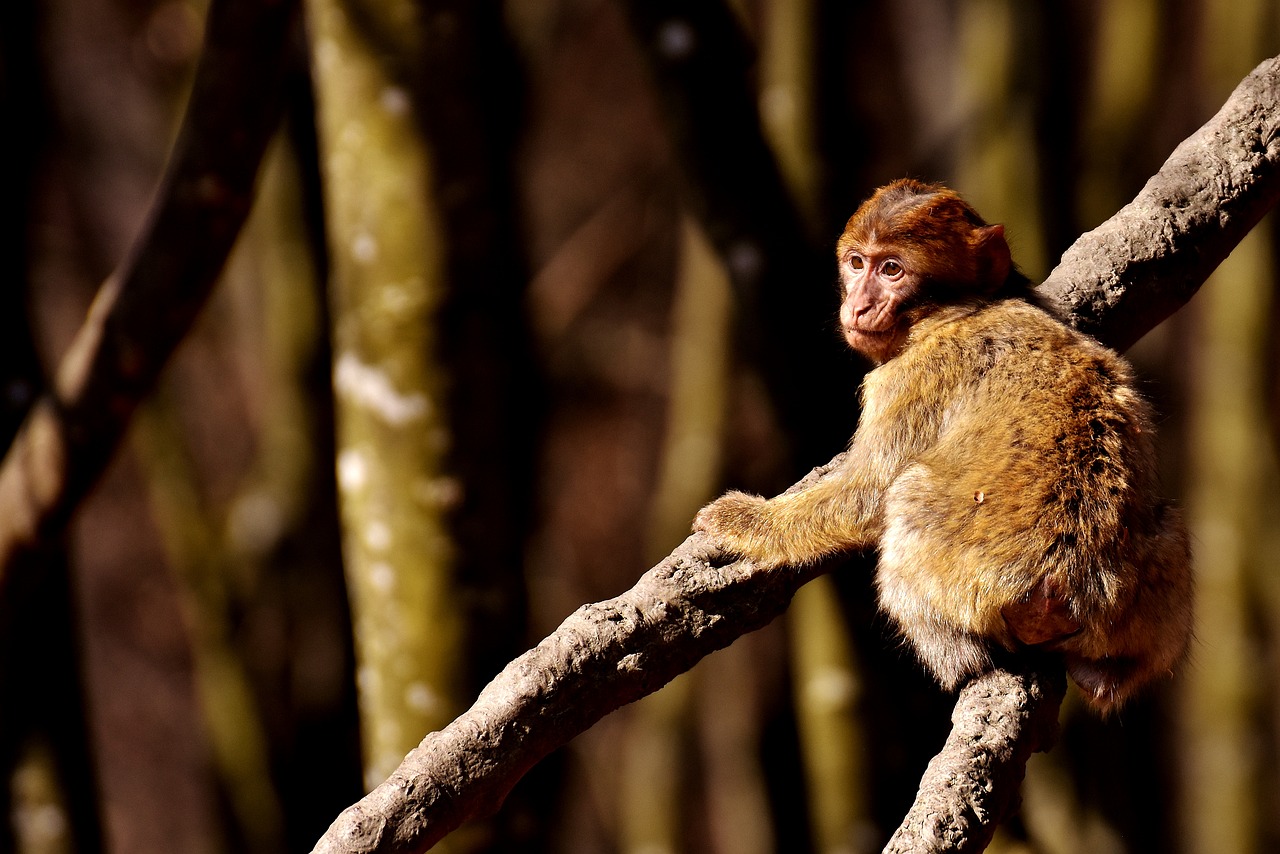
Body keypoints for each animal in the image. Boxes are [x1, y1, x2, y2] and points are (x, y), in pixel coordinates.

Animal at [696, 176, 1192, 711]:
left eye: (892, 269)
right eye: (857, 263)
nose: (859, 305)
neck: (955, 312)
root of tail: (1067, 585)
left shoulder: (909, 379)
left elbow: (866, 493)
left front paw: (743, 521)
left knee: (908, 496)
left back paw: (962, 660)